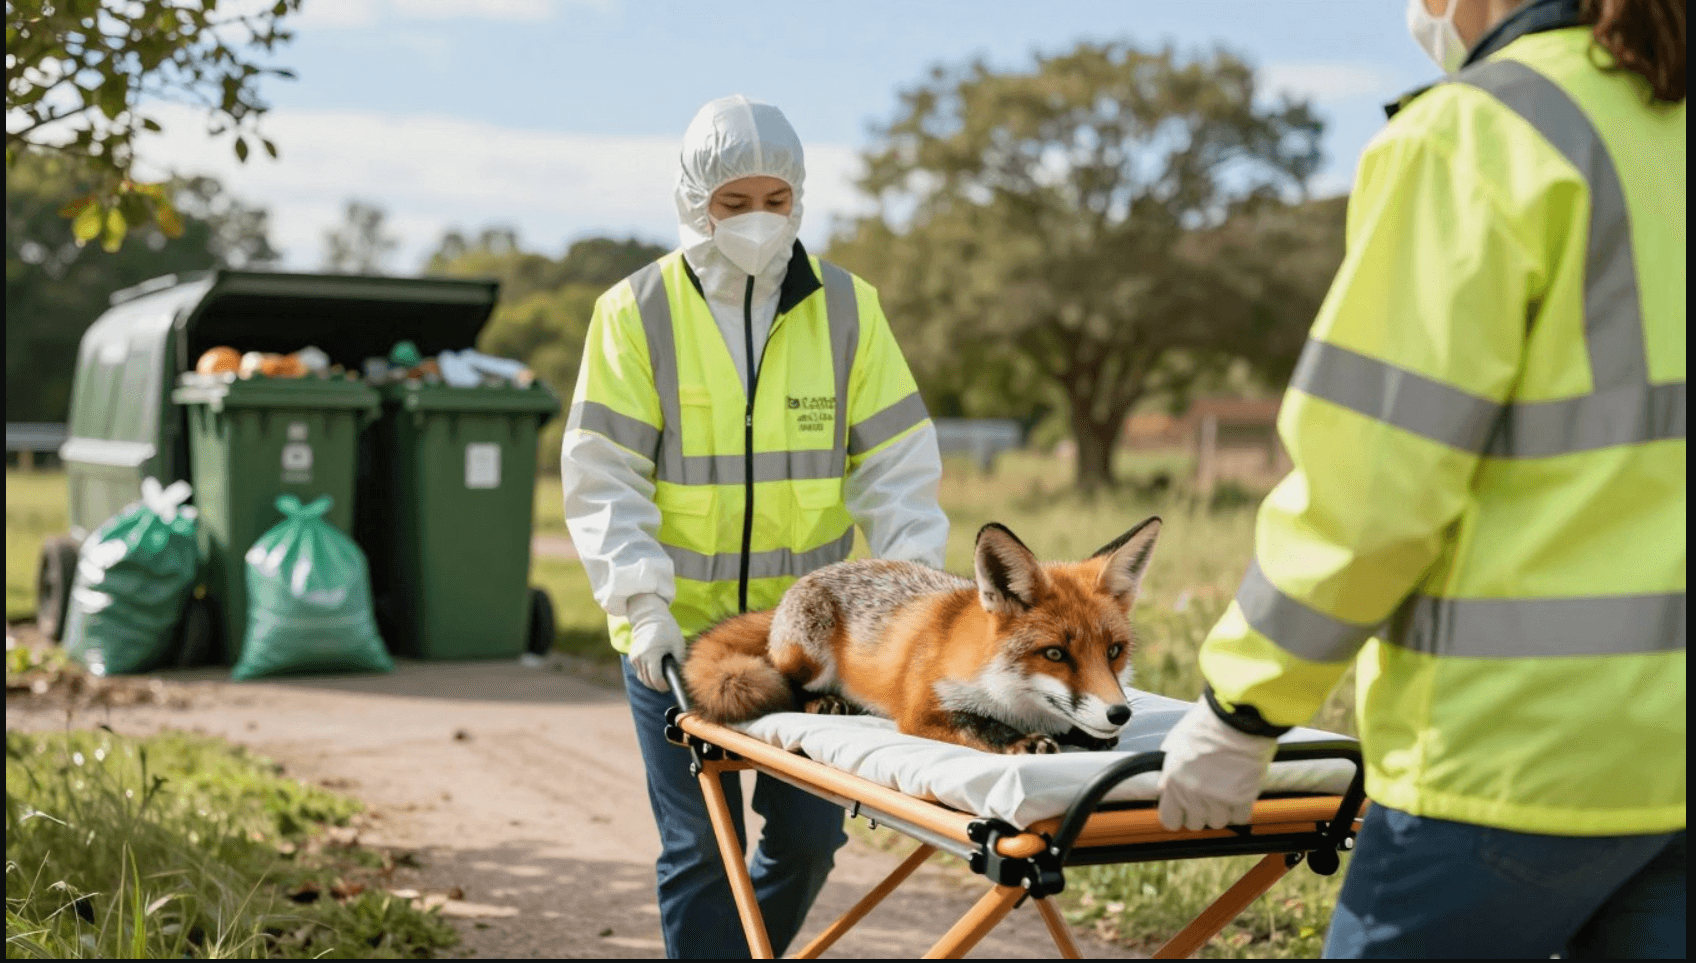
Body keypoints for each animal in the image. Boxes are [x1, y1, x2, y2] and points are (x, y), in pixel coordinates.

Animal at [682, 516, 1161, 755]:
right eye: (1056, 654)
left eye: (1114, 651)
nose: (1120, 714)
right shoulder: (921, 712)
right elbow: (978, 725)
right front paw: (1020, 741)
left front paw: (1085, 734)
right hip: (807, 657)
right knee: (780, 678)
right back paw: (824, 701)